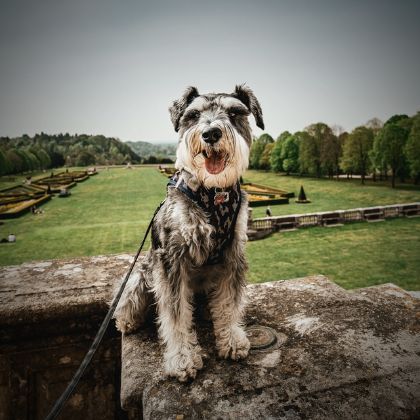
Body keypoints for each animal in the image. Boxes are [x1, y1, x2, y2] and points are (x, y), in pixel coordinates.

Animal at [114, 84, 266, 380]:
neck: (214, 193)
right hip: (141, 276)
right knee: (129, 300)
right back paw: (127, 321)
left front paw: (231, 339)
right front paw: (182, 358)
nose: (210, 133)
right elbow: (175, 314)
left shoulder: (233, 253)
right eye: (193, 115)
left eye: (234, 112)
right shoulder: (171, 259)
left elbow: (230, 302)